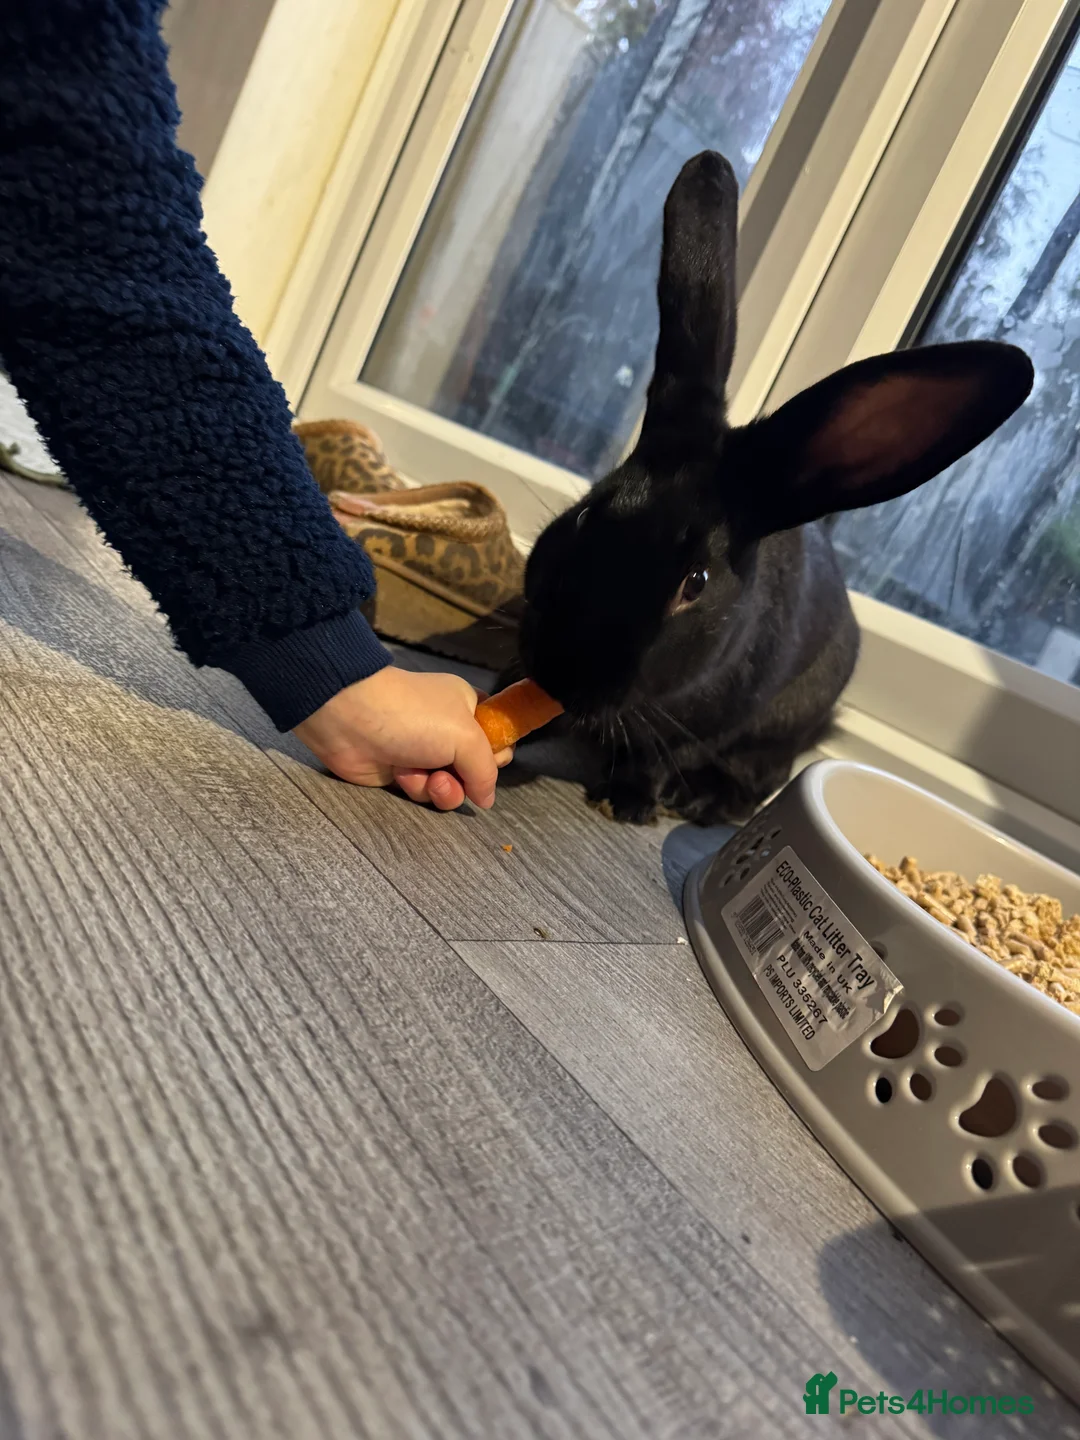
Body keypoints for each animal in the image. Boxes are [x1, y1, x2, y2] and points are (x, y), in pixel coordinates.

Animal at [502, 150, 1034, 827]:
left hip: (778, 728)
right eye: (585, 514)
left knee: (763, 775)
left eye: (695, 584)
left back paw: (699, 799)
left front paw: (629, 802)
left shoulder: (704, 724)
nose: (561, 672)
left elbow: (663, 754)